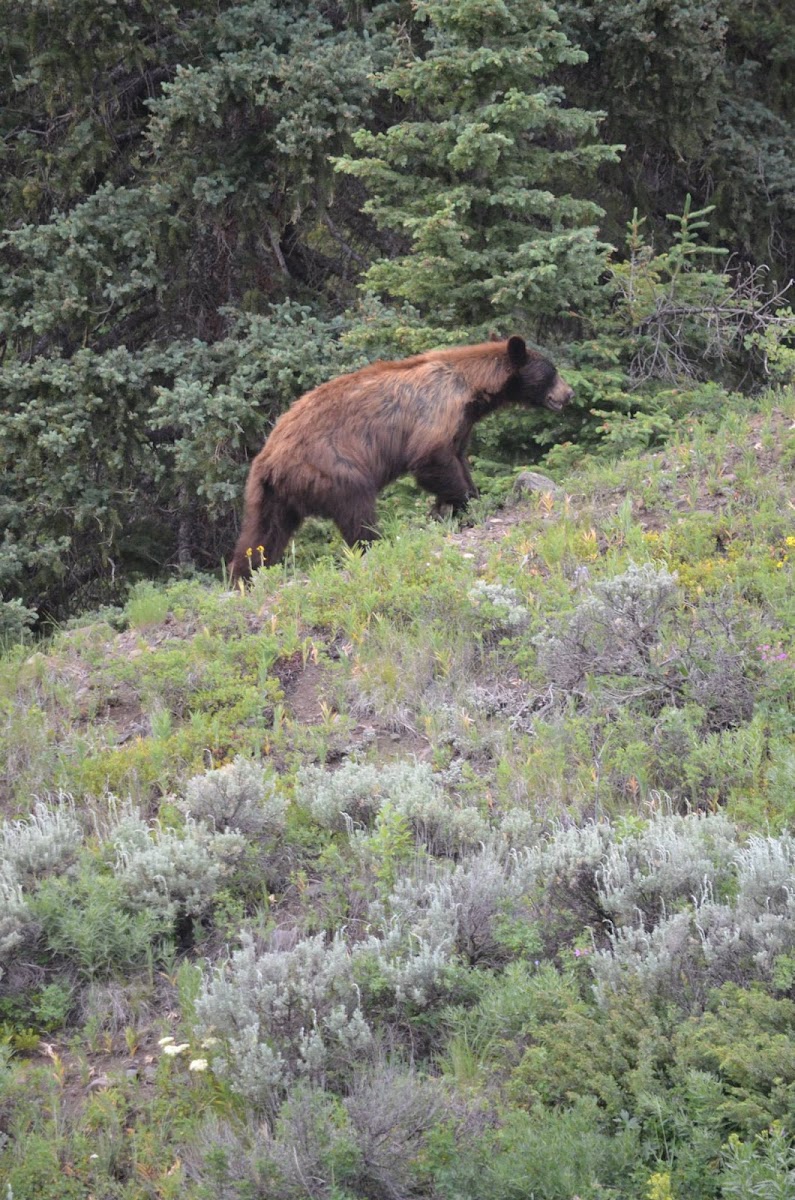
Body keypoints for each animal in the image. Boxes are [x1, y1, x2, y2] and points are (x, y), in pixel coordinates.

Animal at [230, 333, 574, 576]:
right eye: (552, 372)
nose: (569, 393)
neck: (470, 385)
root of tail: (270, 460)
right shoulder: (437, 412)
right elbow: (431, 460)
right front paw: (464, 506)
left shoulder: (461, 425)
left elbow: (458, 460)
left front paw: (454, 506)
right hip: (331, 468)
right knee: (356, 510)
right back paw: (375, 542)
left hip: (268, 494)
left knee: (261, 535)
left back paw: (246, 575)